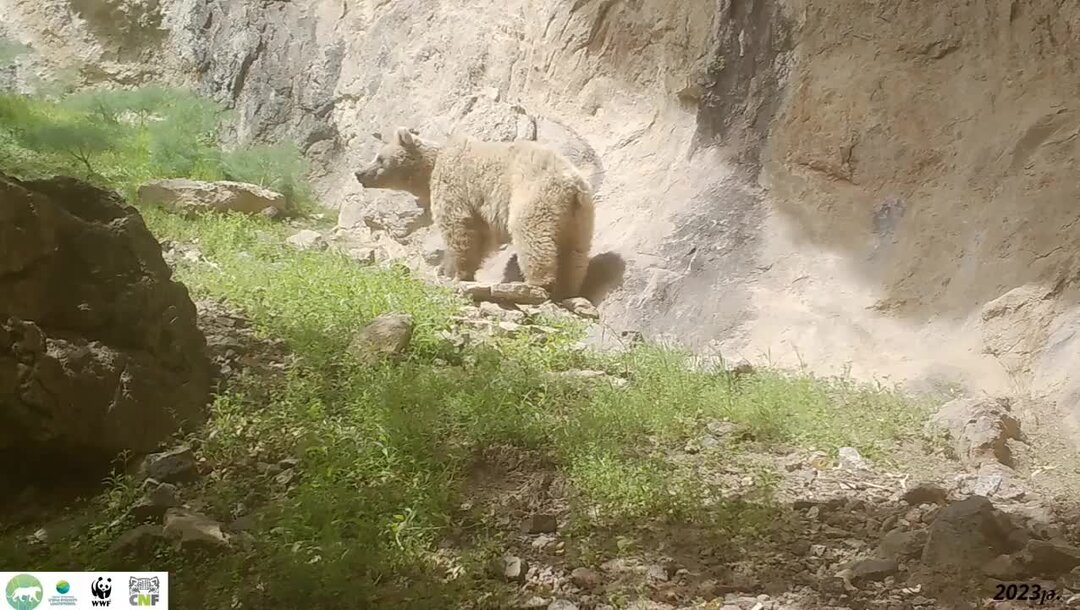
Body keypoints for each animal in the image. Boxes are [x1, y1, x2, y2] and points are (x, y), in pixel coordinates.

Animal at [354, 127, 596, 300]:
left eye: (379, 158)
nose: (359, 173)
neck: (429, 169)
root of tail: (572, 185)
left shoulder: (455, 185)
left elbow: (458, 226)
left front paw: (454, 272)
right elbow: (480, 235)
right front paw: (448, 269)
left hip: (534, 195)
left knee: (531, 234)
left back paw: (536, 282)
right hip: (580, 217)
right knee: (575, 251)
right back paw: (568, 288)